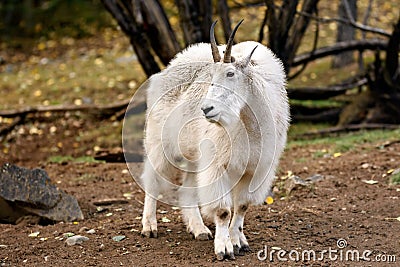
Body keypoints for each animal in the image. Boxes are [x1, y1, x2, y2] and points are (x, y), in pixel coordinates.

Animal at [139, 19, 290, 262]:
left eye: (230, 73)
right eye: (211, 77)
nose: (206, 109)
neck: (249, 125)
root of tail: (168, 68)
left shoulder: (254, 168)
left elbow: (242, 205)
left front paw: (238, 241)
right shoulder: (217, 165)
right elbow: (223, 210)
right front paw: (224, 248)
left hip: (195, 157)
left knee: (186, 190)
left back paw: (199, 229)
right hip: (159, 143)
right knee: (152, 180)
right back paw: (149, 226)